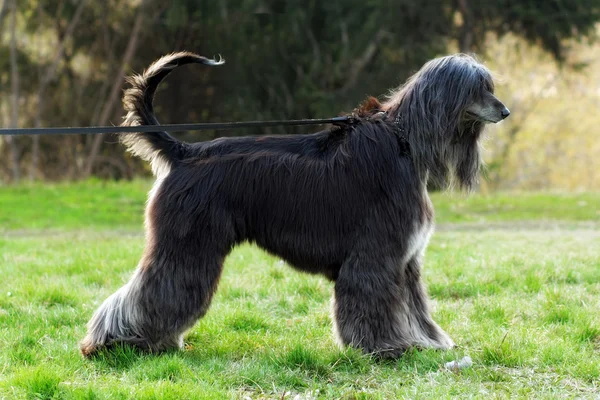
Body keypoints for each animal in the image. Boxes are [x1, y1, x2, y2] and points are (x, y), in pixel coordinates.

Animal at [79, 51, 508, 358]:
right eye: (478, 88)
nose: (505, 111)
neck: (404, 142)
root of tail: (184, 152)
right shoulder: (376, 254)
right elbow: (377, 302)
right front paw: (387, 349)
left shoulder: (406, 259)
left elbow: (415, 307)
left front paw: (428, 343)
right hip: (187, 244)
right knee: (155, 289)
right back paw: (118, 344)